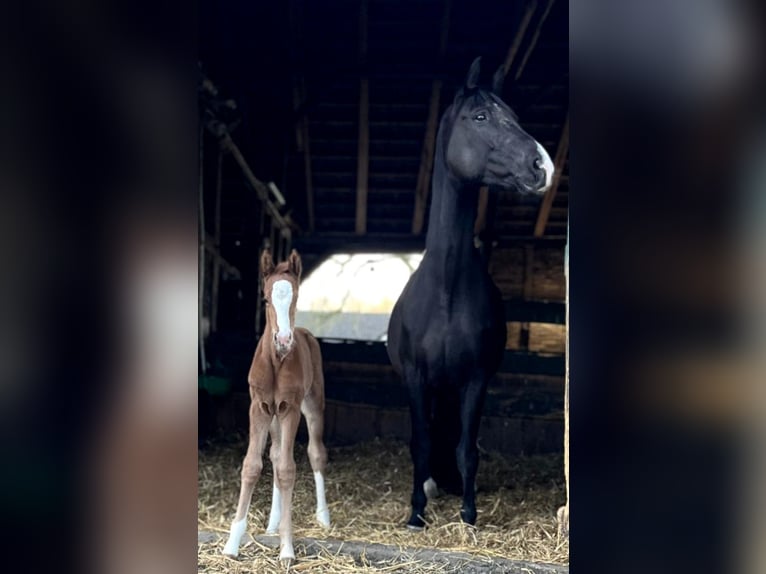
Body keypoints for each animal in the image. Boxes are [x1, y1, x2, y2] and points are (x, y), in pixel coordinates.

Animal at [223, 248, 330, 564]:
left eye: (295, 297)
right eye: (266, 299)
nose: (283, 340)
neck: (276, 361)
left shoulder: (289, 408)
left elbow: (287, 469)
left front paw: (286, 548)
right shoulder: (259, 407)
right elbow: (252, 465)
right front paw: (232, 544)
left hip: (312, 404)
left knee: (315, 452)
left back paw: (323, 517)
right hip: (273, 417)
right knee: (273, 453)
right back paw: (271, 522)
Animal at [387, 57, 554, 529]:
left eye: (515, 116)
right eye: (479, 117)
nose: (543, 166)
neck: (446, 291)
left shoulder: (475, 380)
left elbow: (467, 449)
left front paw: (468, 512)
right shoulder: (416, 378)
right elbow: (420, 443)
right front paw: (416, 513)